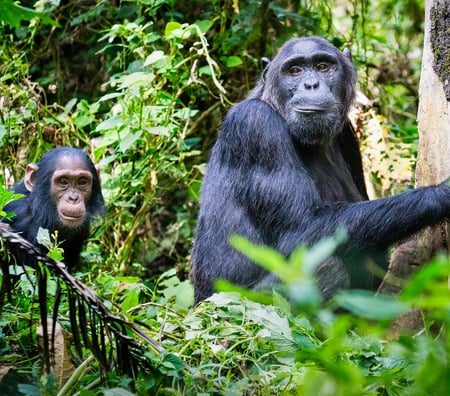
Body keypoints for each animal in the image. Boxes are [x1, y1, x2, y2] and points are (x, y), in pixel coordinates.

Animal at [191, 36, 450, 304]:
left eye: (324, 66)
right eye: (294, 70)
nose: (311, 84)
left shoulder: (348, 135)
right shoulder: (256, 126)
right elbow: (302, 229)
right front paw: (443, 193)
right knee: (325, 266)